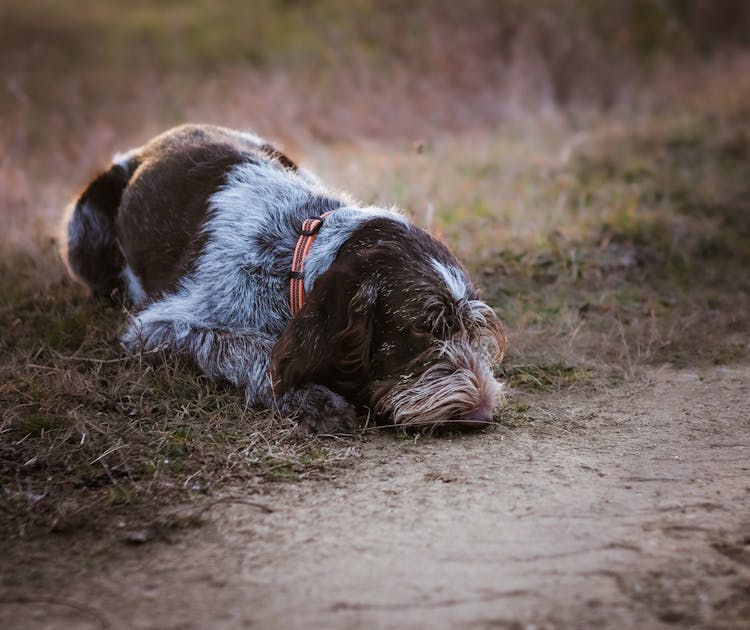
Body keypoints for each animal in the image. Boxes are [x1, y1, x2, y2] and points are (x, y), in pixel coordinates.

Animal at [61, 124, 508, 434]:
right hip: (80, 228)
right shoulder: (155, 328)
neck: (293, 247)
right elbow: (252, 350)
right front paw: (316, 400)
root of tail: (147, 147)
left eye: (469, 328)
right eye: (423, 328)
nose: (482, 413)